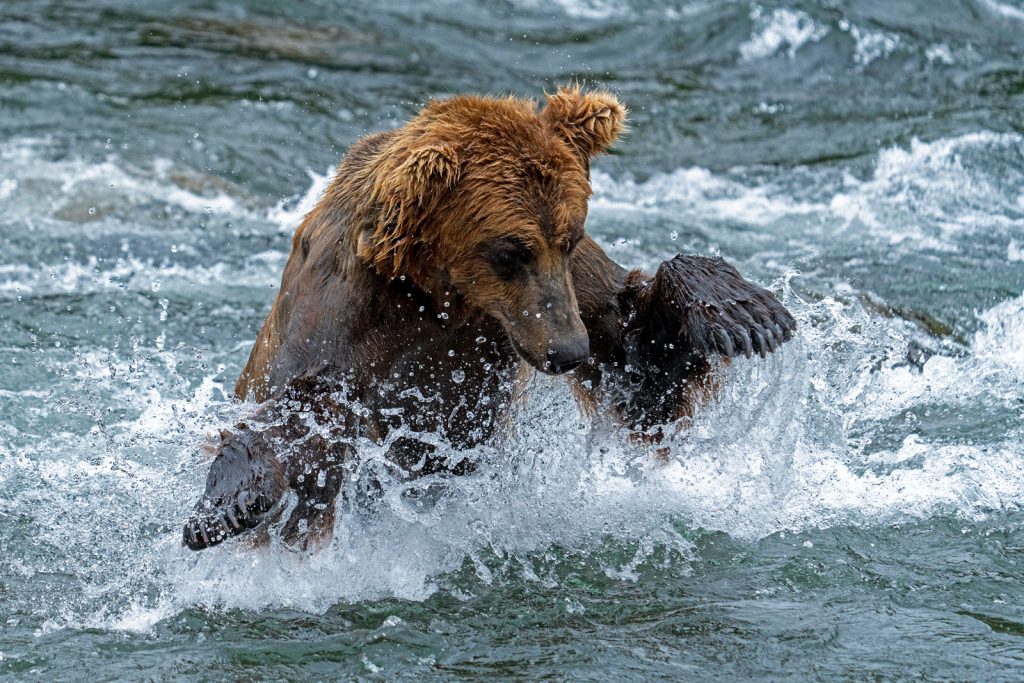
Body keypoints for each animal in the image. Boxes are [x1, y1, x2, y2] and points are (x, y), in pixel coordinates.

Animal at [182, 86, 796, 551]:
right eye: (508, 251)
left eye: (569, 237)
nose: (568, 350)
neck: (438, 292)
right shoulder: (346, 315)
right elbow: (307, 415)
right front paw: (227, 505)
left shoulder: (560, 297)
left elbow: (640, 364)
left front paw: (749, 315)